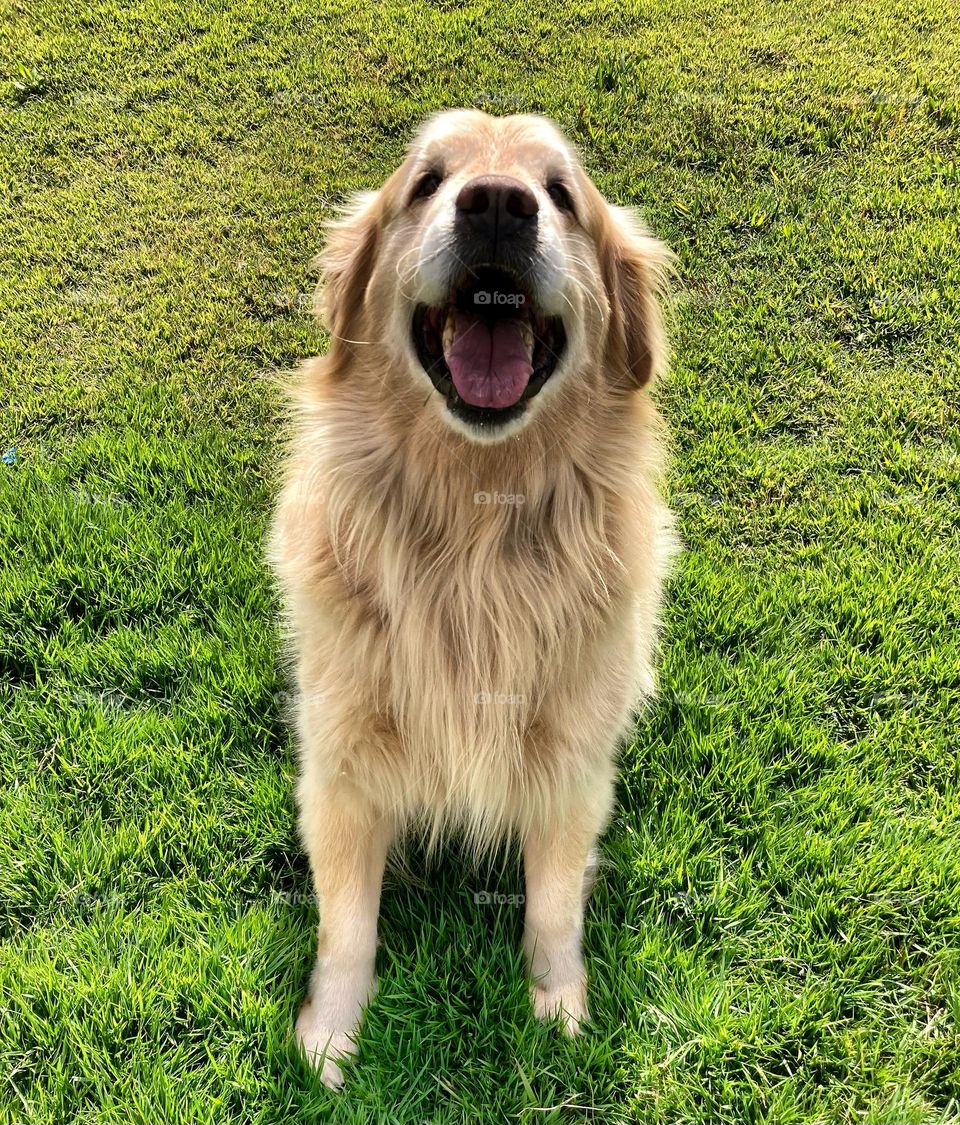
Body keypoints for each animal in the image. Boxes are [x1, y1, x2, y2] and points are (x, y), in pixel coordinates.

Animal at [267, 109, 675, 1084]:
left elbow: (555, 903)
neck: (474, 531)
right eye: (427, 182)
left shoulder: (571, 765)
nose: (495, 205)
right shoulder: (341, 768)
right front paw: (331, 1036)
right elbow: (347, 924)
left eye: (561, 193)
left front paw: (558, 1011)